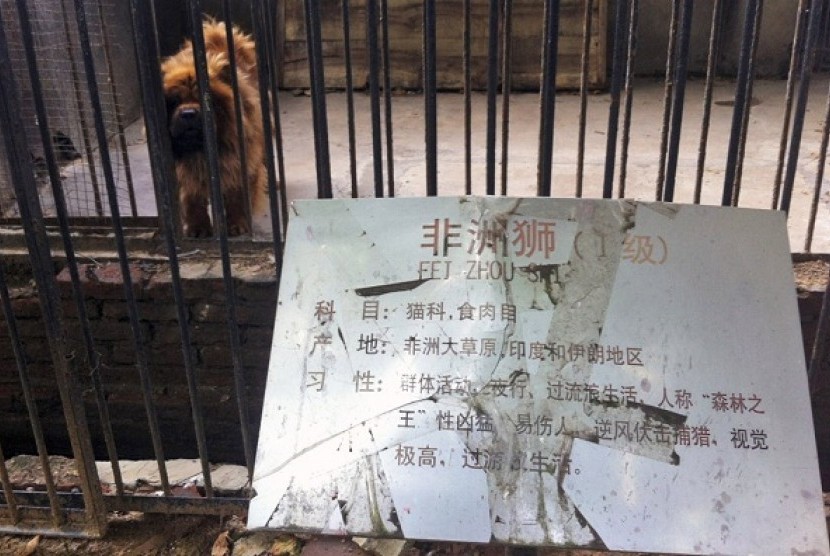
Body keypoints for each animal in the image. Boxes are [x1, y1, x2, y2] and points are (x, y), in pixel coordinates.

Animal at [161, 19, 264, 236]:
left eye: (206, 100)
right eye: (174, 101)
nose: (188, 113)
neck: (200, 152)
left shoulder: (239, 163)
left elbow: (237, 197)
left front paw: (237, 224)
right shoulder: (183, 173)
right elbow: (191, 200)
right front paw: (198, 227)